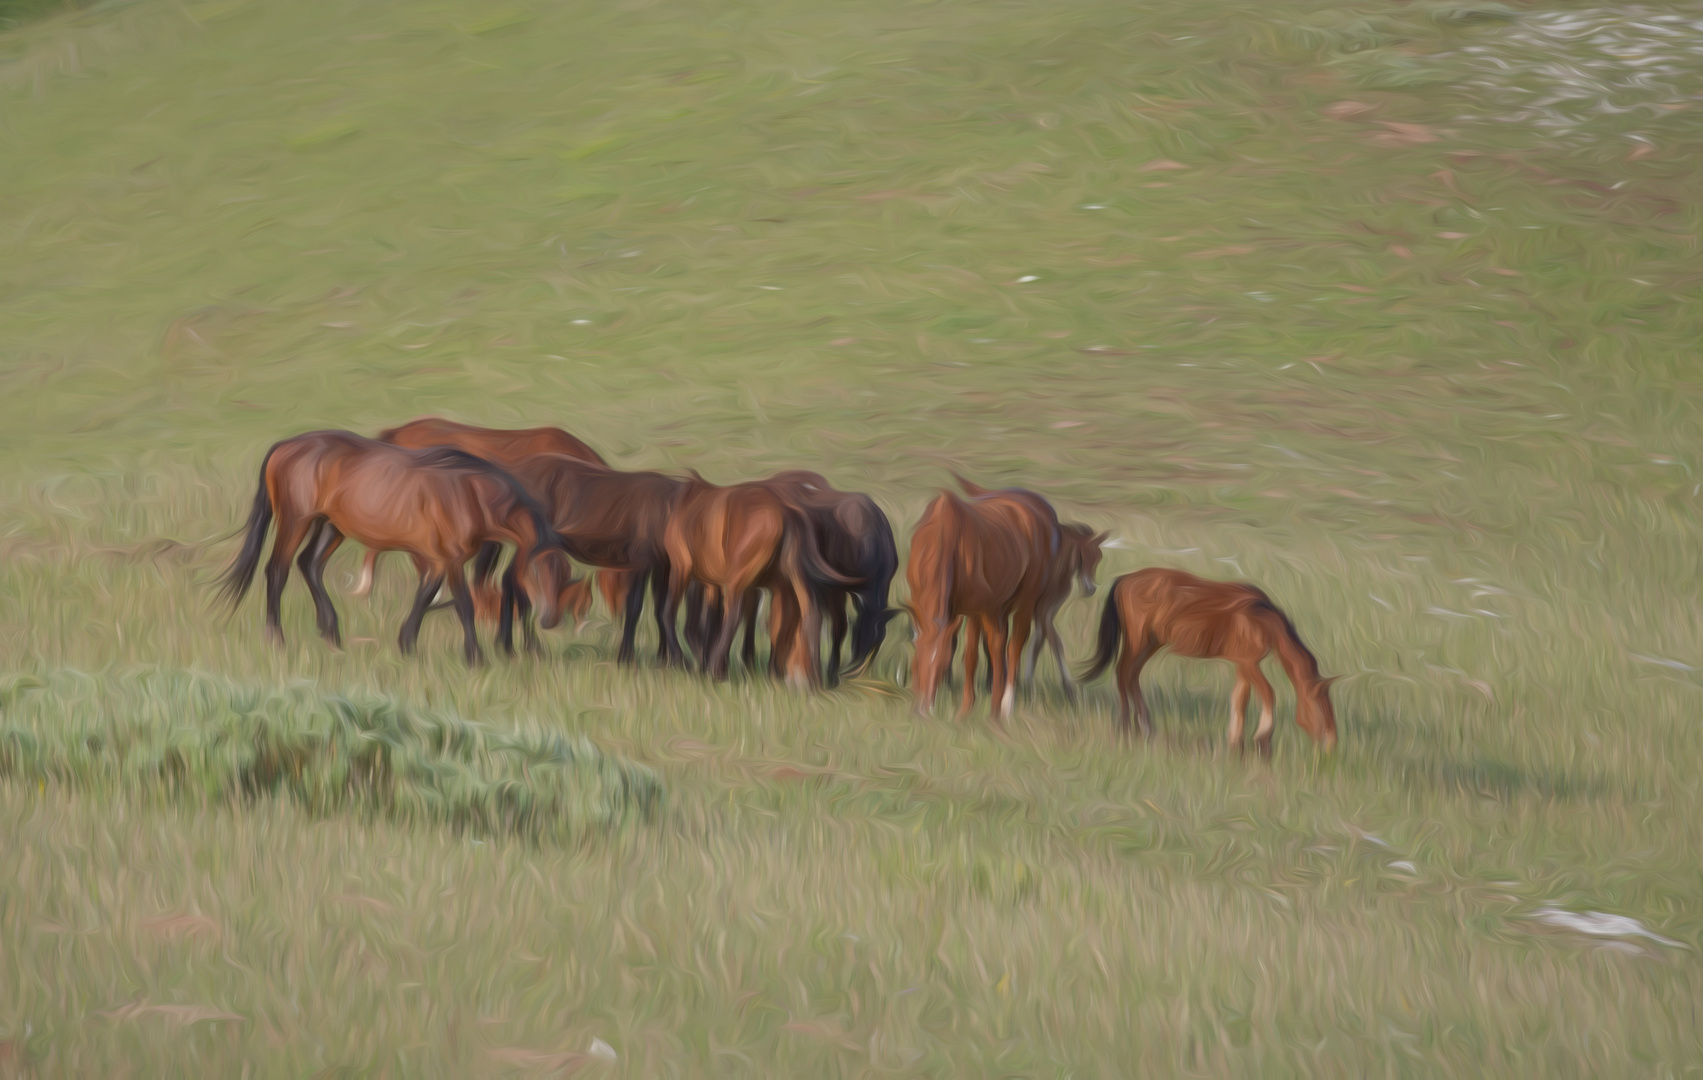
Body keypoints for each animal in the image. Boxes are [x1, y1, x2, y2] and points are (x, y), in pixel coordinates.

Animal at [217, 429, 572, 664]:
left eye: (565, 575)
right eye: (536, 573)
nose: (550, 619)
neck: (470, 494)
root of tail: (284, 446)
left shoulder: (436, 559)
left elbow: (425, 597)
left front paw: (406, 645)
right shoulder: (452, 560)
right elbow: (464, 605)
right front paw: (474, 657)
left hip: (330, 526)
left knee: (310, 564)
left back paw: (332, 634)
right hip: (296, 522)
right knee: (278, 570)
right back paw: (276, 639)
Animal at [660, 476, 858, 684]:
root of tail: (788, 510)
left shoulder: (682, 567)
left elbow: (671, 612)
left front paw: (683, 660)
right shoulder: (712, 583)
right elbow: (711, 619)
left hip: (740, 579)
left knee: (734, 615)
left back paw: (718, 671)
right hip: (791, 577)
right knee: (809, 614)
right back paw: (808, 679)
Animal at [905, 476, 1062, 715]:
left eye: (941, 665)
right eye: (916, 662)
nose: (924, 711)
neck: (943, 536)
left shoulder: (974, 609)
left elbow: (969, 656)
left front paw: (965, 711)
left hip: (1022, 603)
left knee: (1014, 645)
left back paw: (1005, 705)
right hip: (998, 608)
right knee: (998, 644)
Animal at [1076, 568, 1341, 752]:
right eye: (1319, 708)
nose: (1331, 746)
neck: (1261, 618)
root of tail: (1125, 578)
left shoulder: (1243, 664)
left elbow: (1239, 699)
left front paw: (1236, 743)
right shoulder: (1249, 664)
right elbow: (1267, 695)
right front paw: (1262, 740)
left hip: (1151, 643)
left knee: (1132, 675)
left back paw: (1145, 726)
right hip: (1137, 640)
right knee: (1123, 673)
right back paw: (1125, 727)